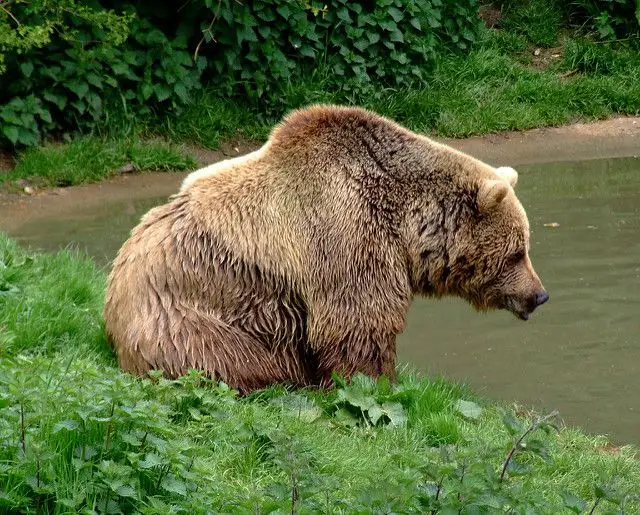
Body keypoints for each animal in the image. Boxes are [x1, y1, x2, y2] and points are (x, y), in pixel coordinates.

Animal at [103, 104, 548, 394]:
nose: (539, 294)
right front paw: (376, 384)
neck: (404, 224)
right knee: (229, 360)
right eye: (517, 252)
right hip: (193, 318)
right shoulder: (345, 235)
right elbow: (359, 322)